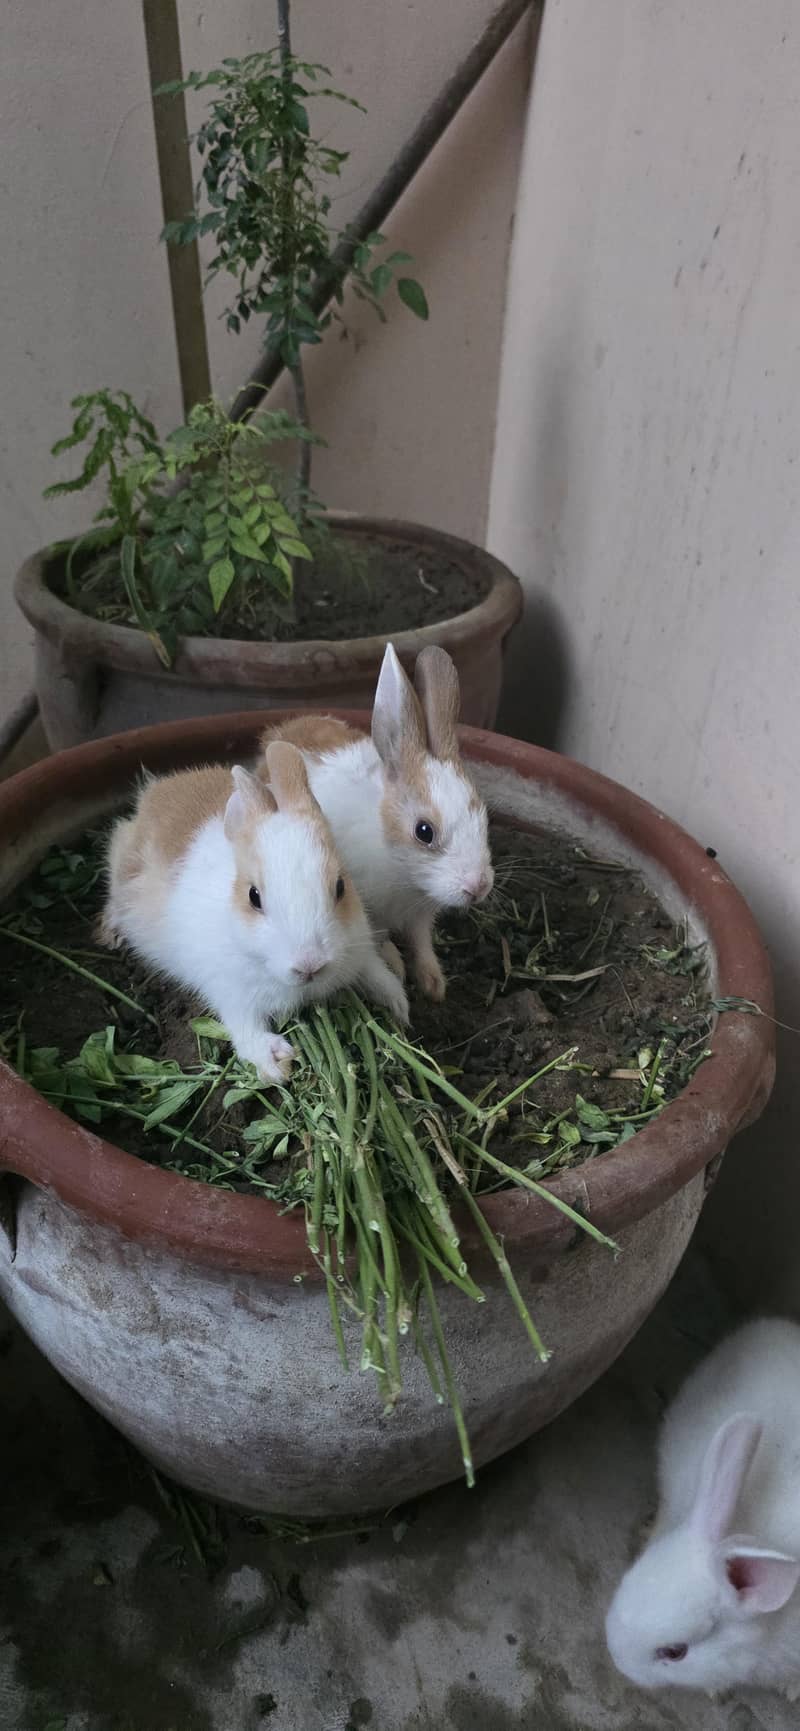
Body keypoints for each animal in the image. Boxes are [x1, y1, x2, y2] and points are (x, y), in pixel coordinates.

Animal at [99, 740, 409, 1083]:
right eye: (253, 897)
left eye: (340, 887)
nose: (309, 965)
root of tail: (154, 791)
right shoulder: (229, 991)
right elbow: (245, 1026)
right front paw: (276, 1063)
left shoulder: (357, 949)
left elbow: (375, 972)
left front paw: (399, 1005)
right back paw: (110, 932)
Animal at [260, 643, 494, 1002]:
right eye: (424, 831)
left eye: (482, 813)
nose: (478, 886)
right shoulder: (367, 909)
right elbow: (381, 940)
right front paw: (397, 968)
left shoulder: (419, 915)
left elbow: (421, 942)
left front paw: (433, 984)